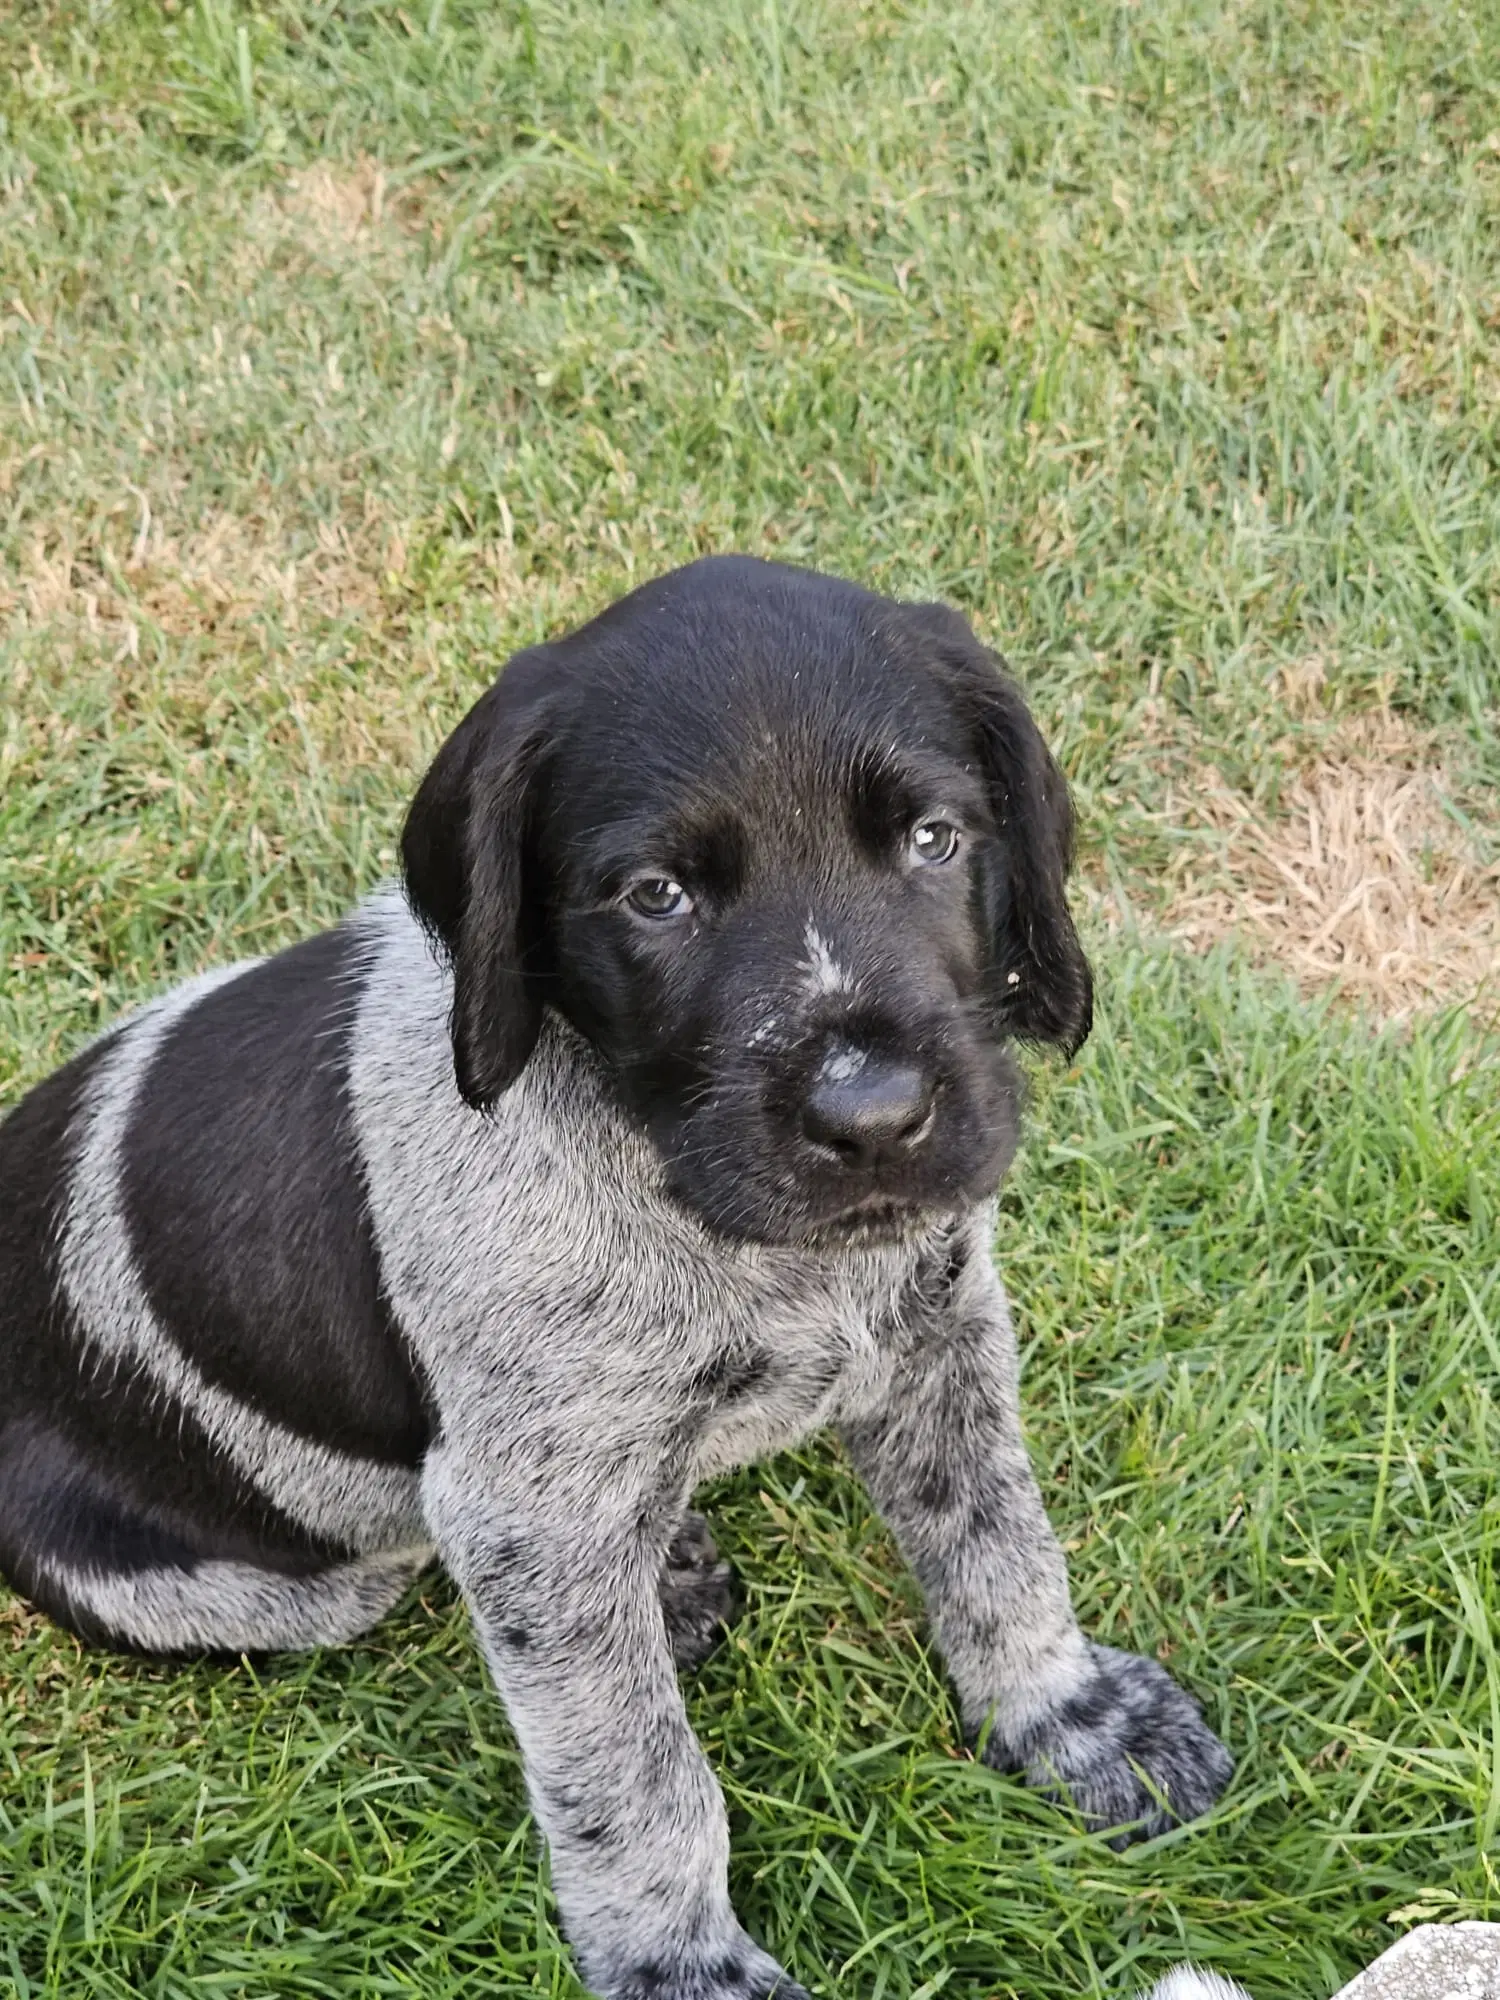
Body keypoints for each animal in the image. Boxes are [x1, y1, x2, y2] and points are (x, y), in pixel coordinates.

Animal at [0, 560, 1240, 2000]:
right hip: (241, 1578)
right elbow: (634, 1776)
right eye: (656, 896)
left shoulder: (941, 1338)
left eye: (935, 838)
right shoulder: (527, 1509)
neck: (711, 1210)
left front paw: (1065, 1709)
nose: (873, 1116)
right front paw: (678, 1958)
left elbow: (997, 1543)